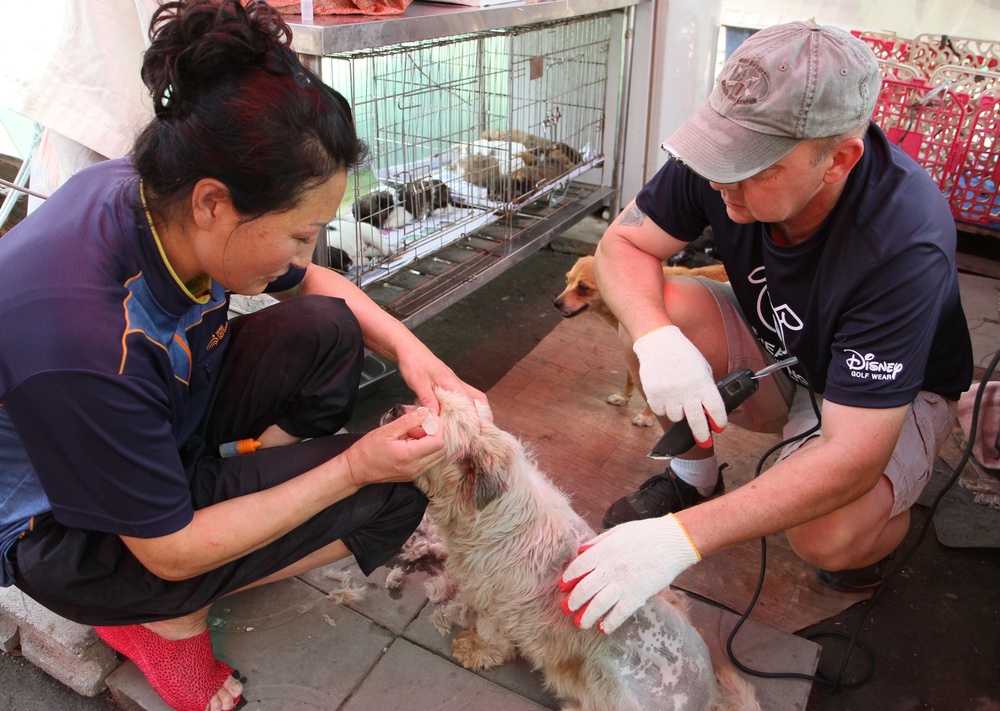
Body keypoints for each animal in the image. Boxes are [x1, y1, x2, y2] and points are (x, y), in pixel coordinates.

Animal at [380, 390, 756, 711]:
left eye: (427, 425)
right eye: (421, 401)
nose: (395, 409)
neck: (488, 506)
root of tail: (710, 697)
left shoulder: (500, 610)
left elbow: (492, 637)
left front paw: (476, 649)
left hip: (608, 677)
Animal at [552, 258, 732, 432]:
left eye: (583, 287)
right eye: (567, 279)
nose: (555, 303)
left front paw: (647, 417)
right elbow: (629, 378)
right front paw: (623, 397)